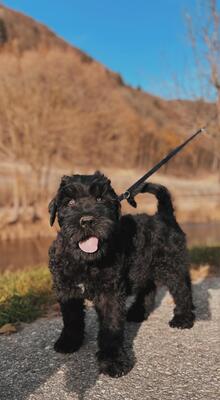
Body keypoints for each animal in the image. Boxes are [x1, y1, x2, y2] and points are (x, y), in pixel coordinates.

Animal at [48, 172, 194, 378]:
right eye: (70, 202)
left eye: (100, 199)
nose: (87, 220)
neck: (85, 260)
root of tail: (164, 216)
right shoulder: (67, 290)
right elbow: (71, 318)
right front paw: (69, 342)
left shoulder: (110, 293)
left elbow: (111, 326)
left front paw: (113, 361)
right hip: (143, 267)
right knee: (148, 289)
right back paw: (137, 313)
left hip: (172, 266)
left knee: (182, 290)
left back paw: (183, 318)